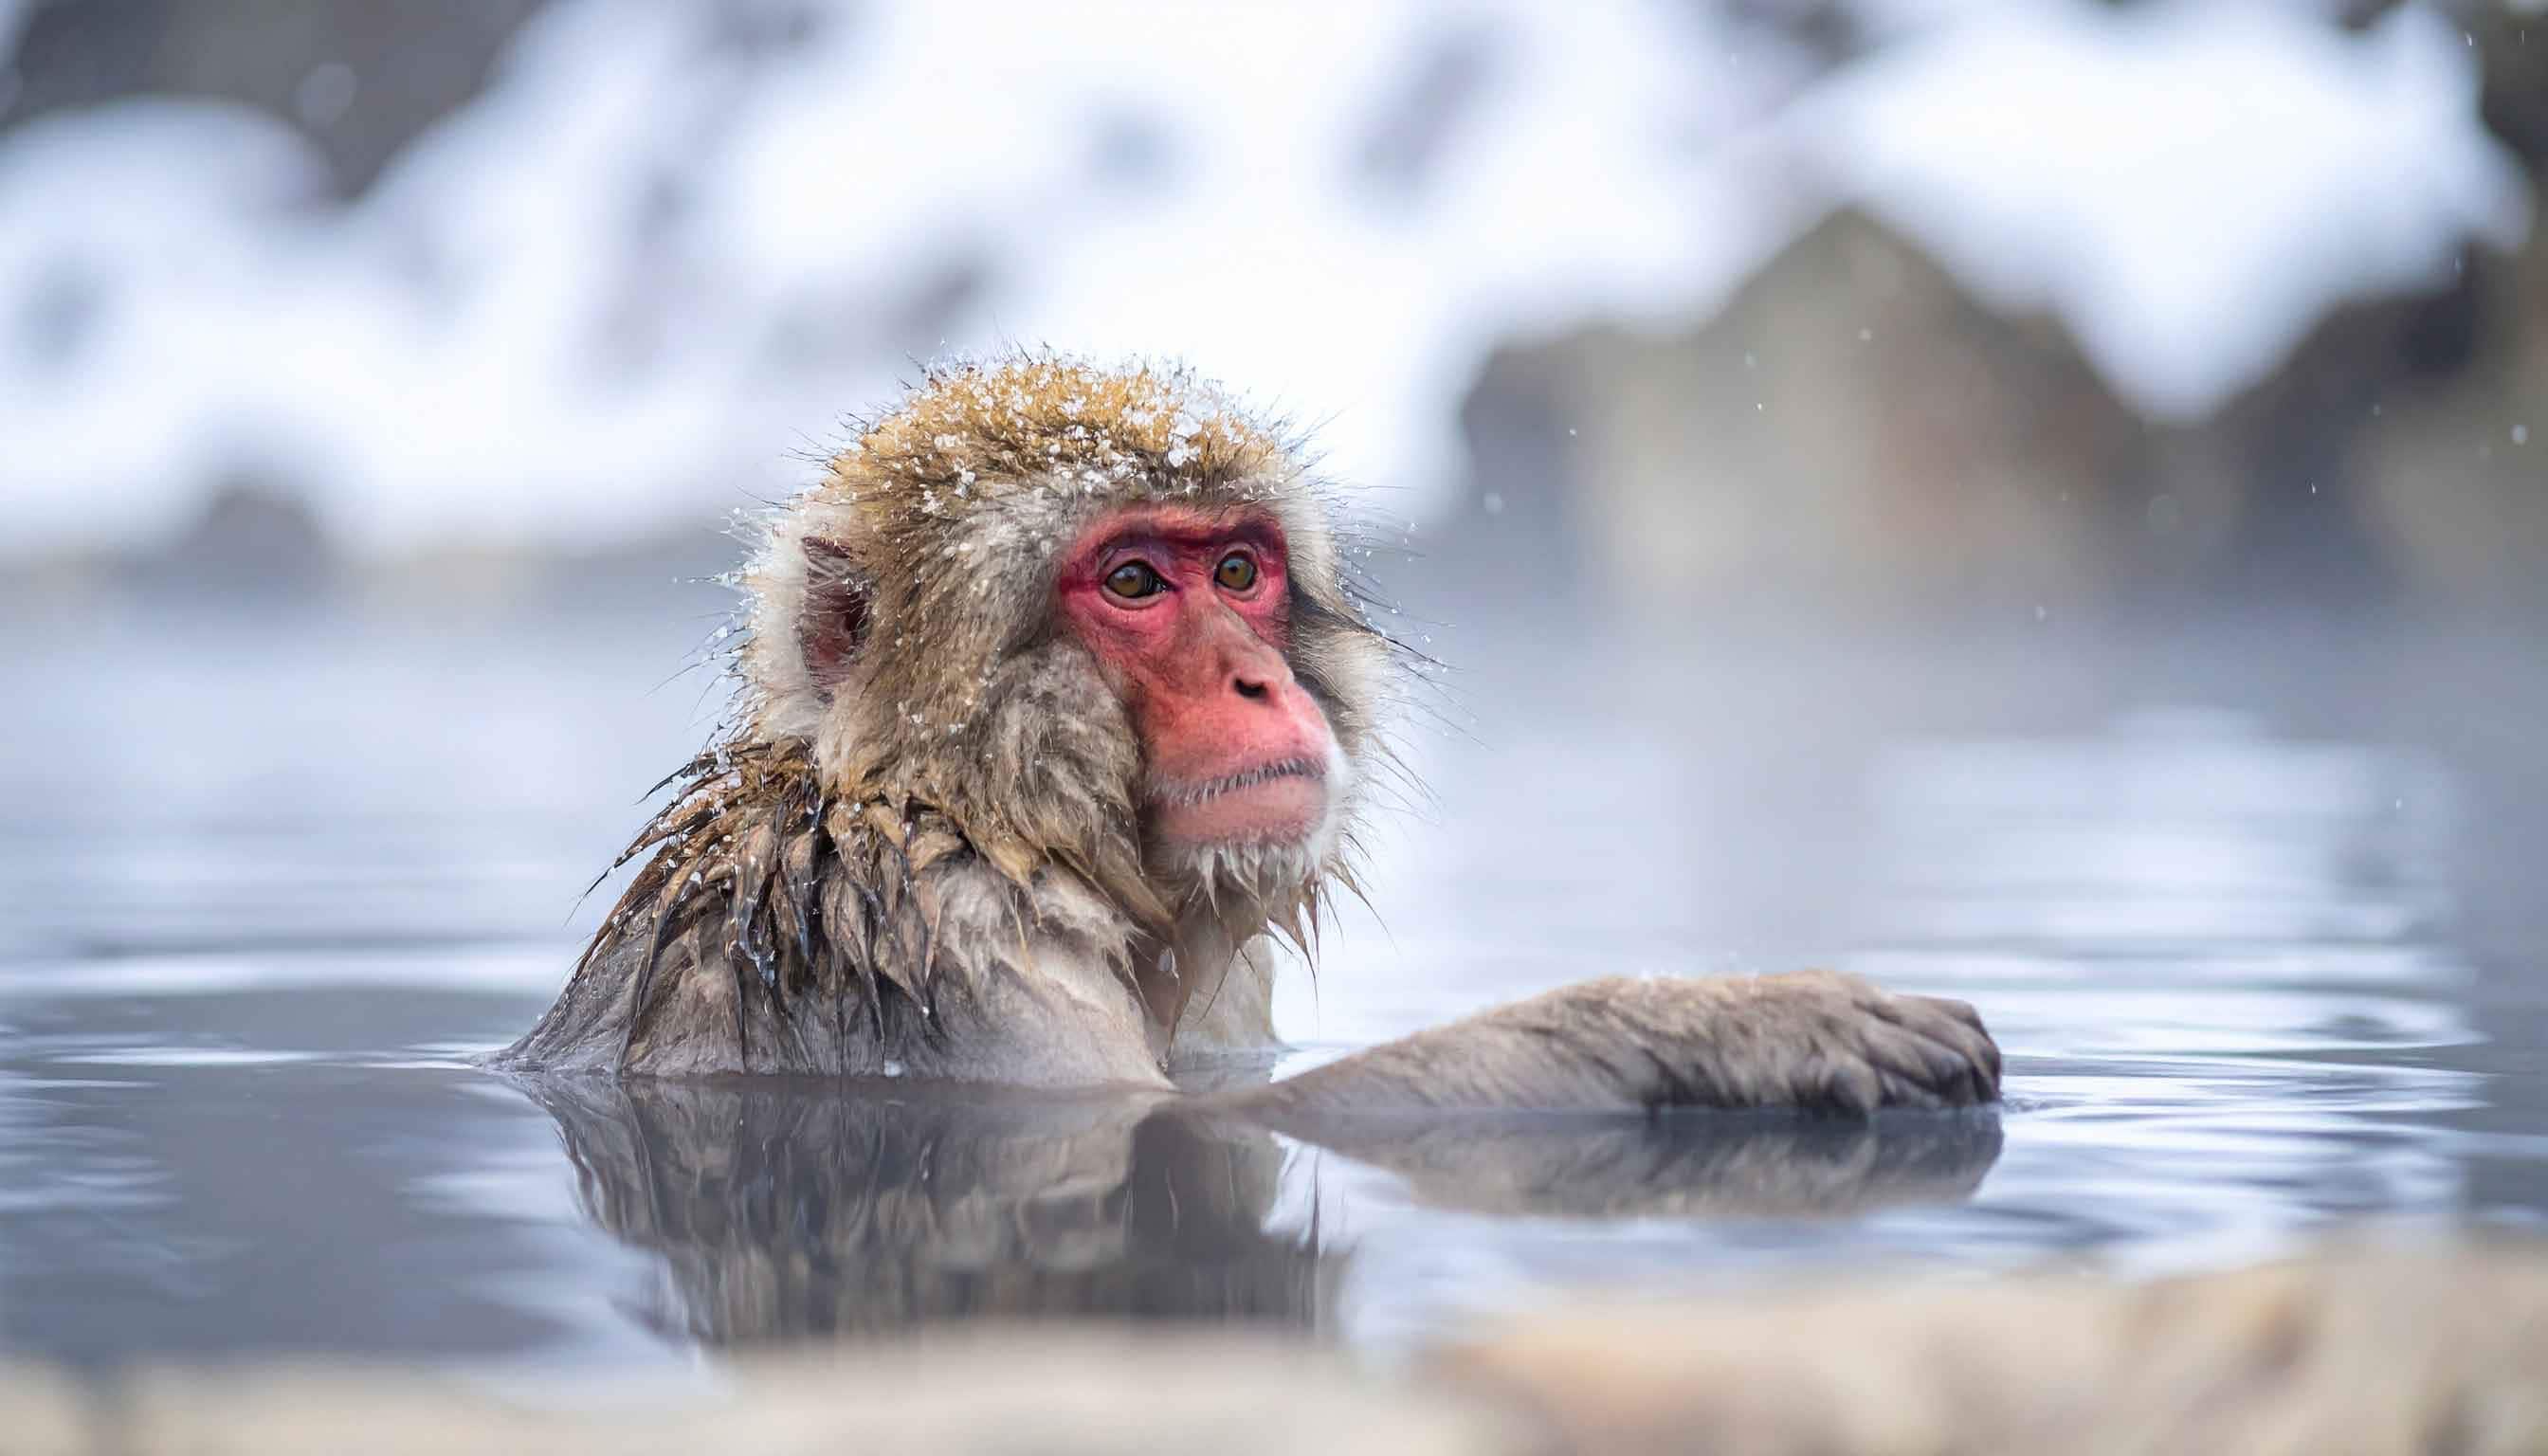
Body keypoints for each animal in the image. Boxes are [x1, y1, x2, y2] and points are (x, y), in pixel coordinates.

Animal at [495, 355, 1999, 1116]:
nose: (1260, 684)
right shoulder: (930, 937)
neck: (948, 809)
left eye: (1236, 572)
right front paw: (1724, 1022)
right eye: (1132, 582)